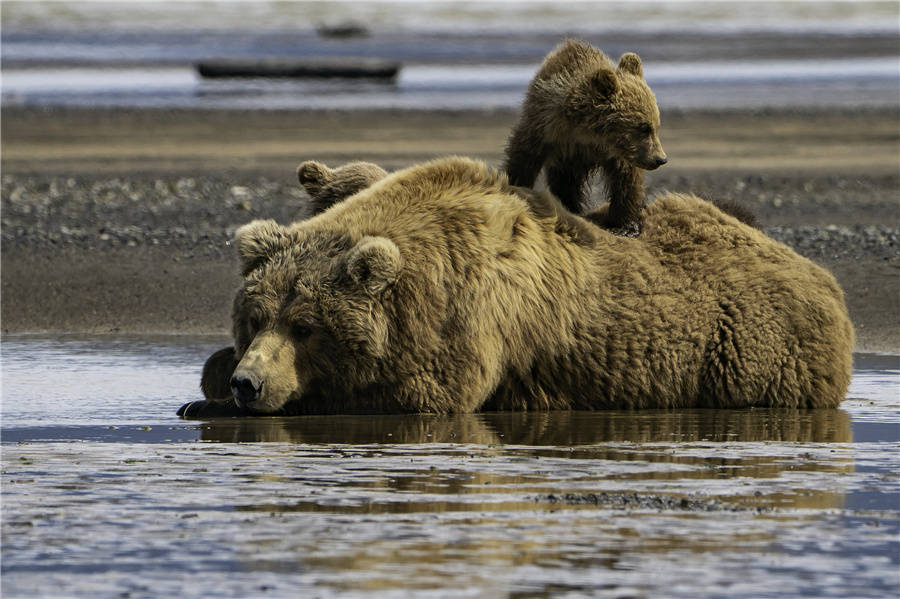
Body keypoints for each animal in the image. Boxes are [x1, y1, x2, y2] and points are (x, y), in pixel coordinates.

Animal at [506, 38, 668, 237]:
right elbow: (523, 160)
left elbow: (627, 182)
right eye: (644, 127)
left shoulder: (617, 155)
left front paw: (625, 225)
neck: (588, 135)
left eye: (656, 126)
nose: (660, 159)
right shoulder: (544, 129)